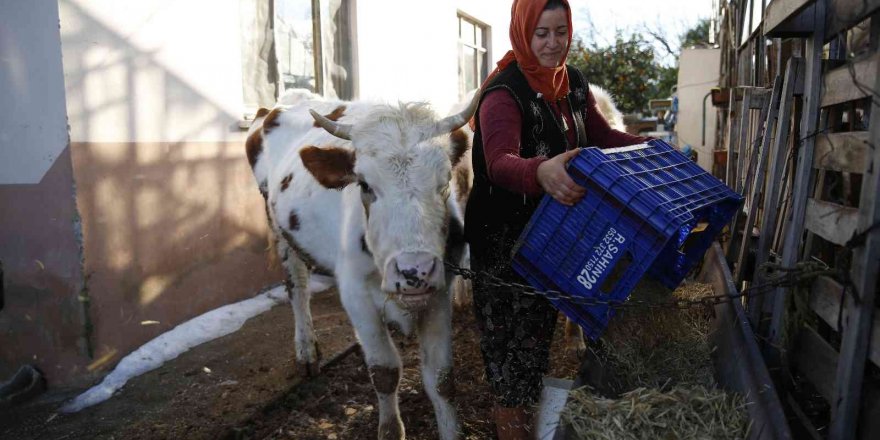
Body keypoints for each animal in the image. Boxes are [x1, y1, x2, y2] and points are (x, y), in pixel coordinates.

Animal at [248, 90, 478, 440]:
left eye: (444, 182)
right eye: (365, 184)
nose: (414, 272)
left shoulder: (439, 293)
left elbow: (441, 378)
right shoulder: (357, 296)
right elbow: (384, 372)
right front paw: (390, 430)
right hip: (279, 230)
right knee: (297, 288)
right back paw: (306, 350)